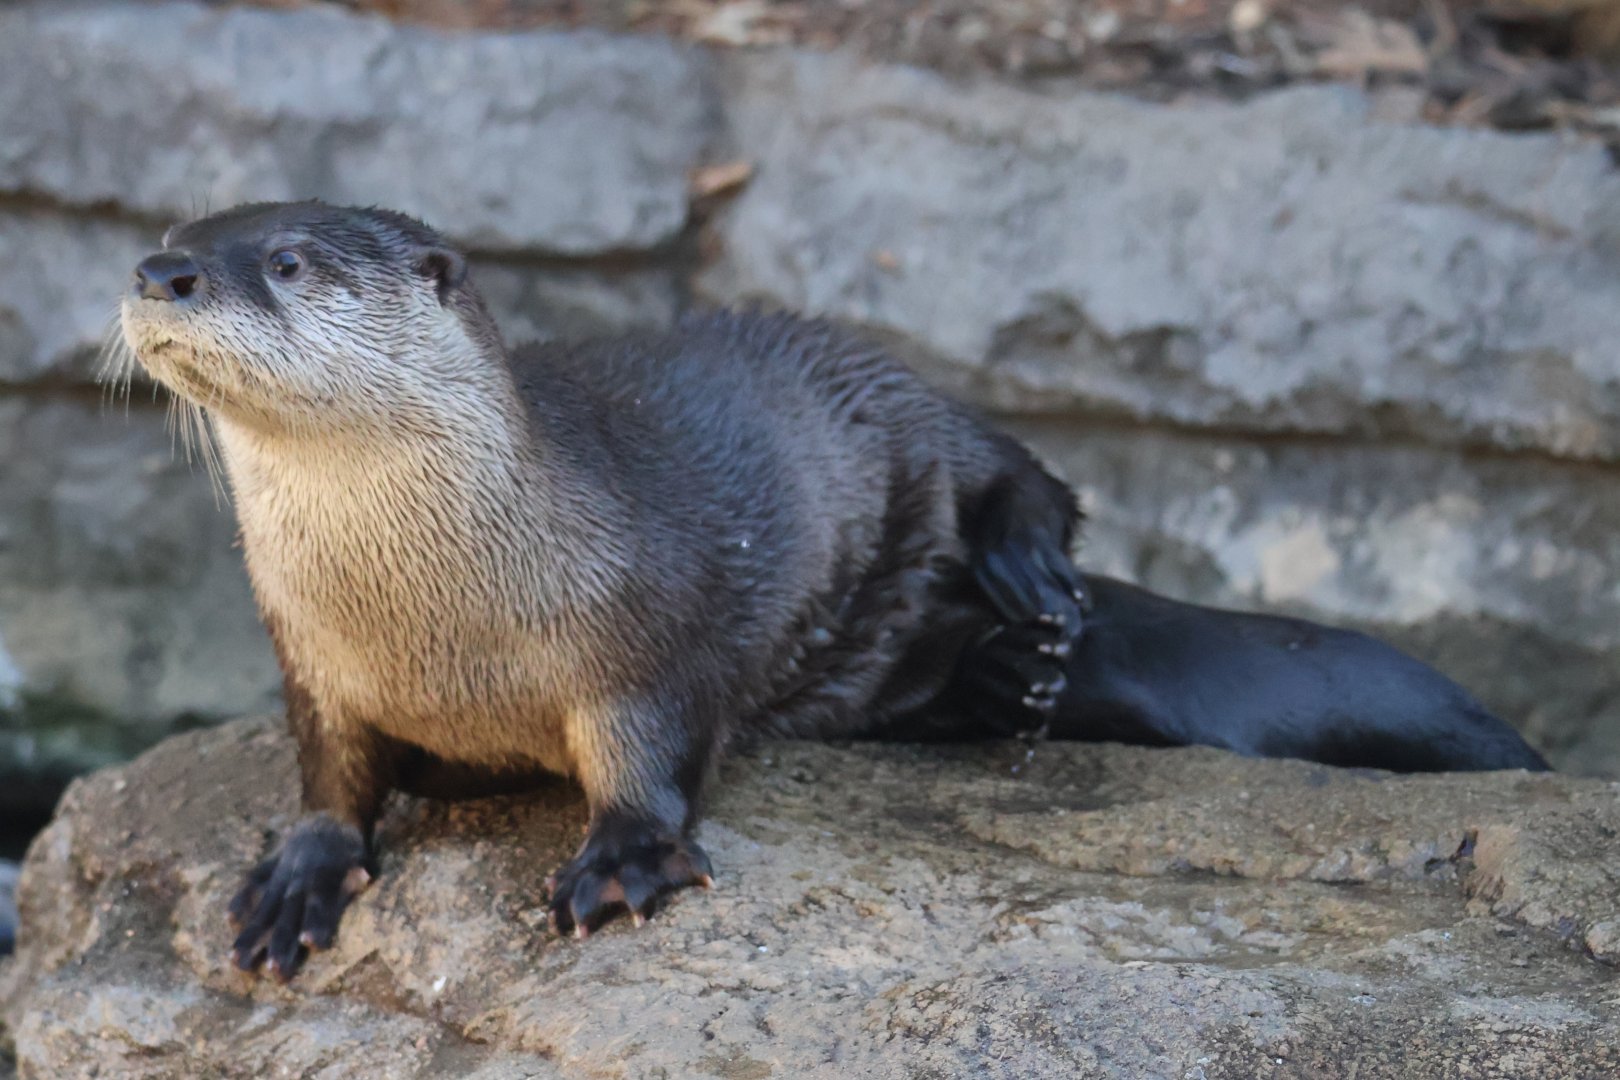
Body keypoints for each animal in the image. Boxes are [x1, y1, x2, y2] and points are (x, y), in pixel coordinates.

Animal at [117, 201, 1544, 982]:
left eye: (287, 260)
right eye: (178, 236)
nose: (157, 273)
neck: (435, 618)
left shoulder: (643, 642)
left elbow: (655, 755)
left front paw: (623, 859)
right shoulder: (311, 662)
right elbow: (330, 776)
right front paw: (299, 878)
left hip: (878, 391)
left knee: (1022, 470)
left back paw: (1029, 574)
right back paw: (1007, 670)